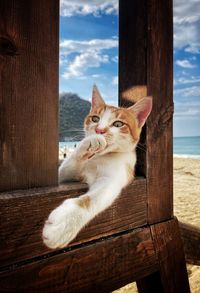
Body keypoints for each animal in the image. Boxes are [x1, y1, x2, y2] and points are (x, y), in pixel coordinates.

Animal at [42, 84, 152, 249]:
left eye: (118, 124)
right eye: (95, 119)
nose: (99, 130)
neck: (101, 158)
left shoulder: (115, 176)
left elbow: (93, 198)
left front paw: (64, 223)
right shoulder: (65, 172)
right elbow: (66, 169)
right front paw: (88, 143)